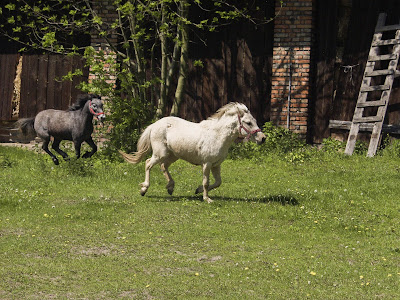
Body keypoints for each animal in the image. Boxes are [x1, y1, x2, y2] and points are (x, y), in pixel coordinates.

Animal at [120, 102, 268, 203]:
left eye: (254, 121)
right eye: (248, 122)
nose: (263, 138)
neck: (218, 135)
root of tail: (154, 125)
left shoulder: (216, 165)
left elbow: (218, 182)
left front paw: (198, 190)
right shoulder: (207, 164)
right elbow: (206, 182)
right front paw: (207, 198)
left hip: (173, 155)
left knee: (163, 166)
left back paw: (170, 187)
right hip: (160, 154)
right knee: (148, 164)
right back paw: (144, 189)